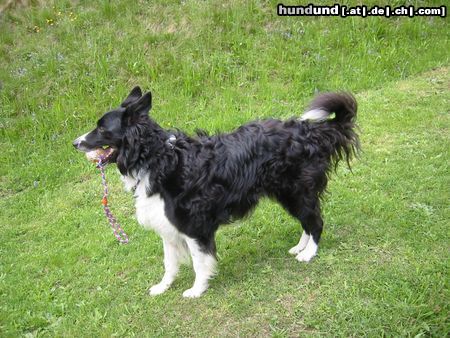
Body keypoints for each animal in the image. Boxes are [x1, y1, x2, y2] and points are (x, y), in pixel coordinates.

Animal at [73, 88, 358, 298]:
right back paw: (300, 247)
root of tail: (310, 131)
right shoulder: (167, 225)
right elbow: (169, 263)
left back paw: (309, 253)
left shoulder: (194, 226)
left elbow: (200, 261)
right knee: (307, 221)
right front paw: (163, 287)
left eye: (102, 129)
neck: (157, 158)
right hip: (288, 194)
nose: (75, 143)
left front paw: (197, 290)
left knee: (315, 221)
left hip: (297, 191)